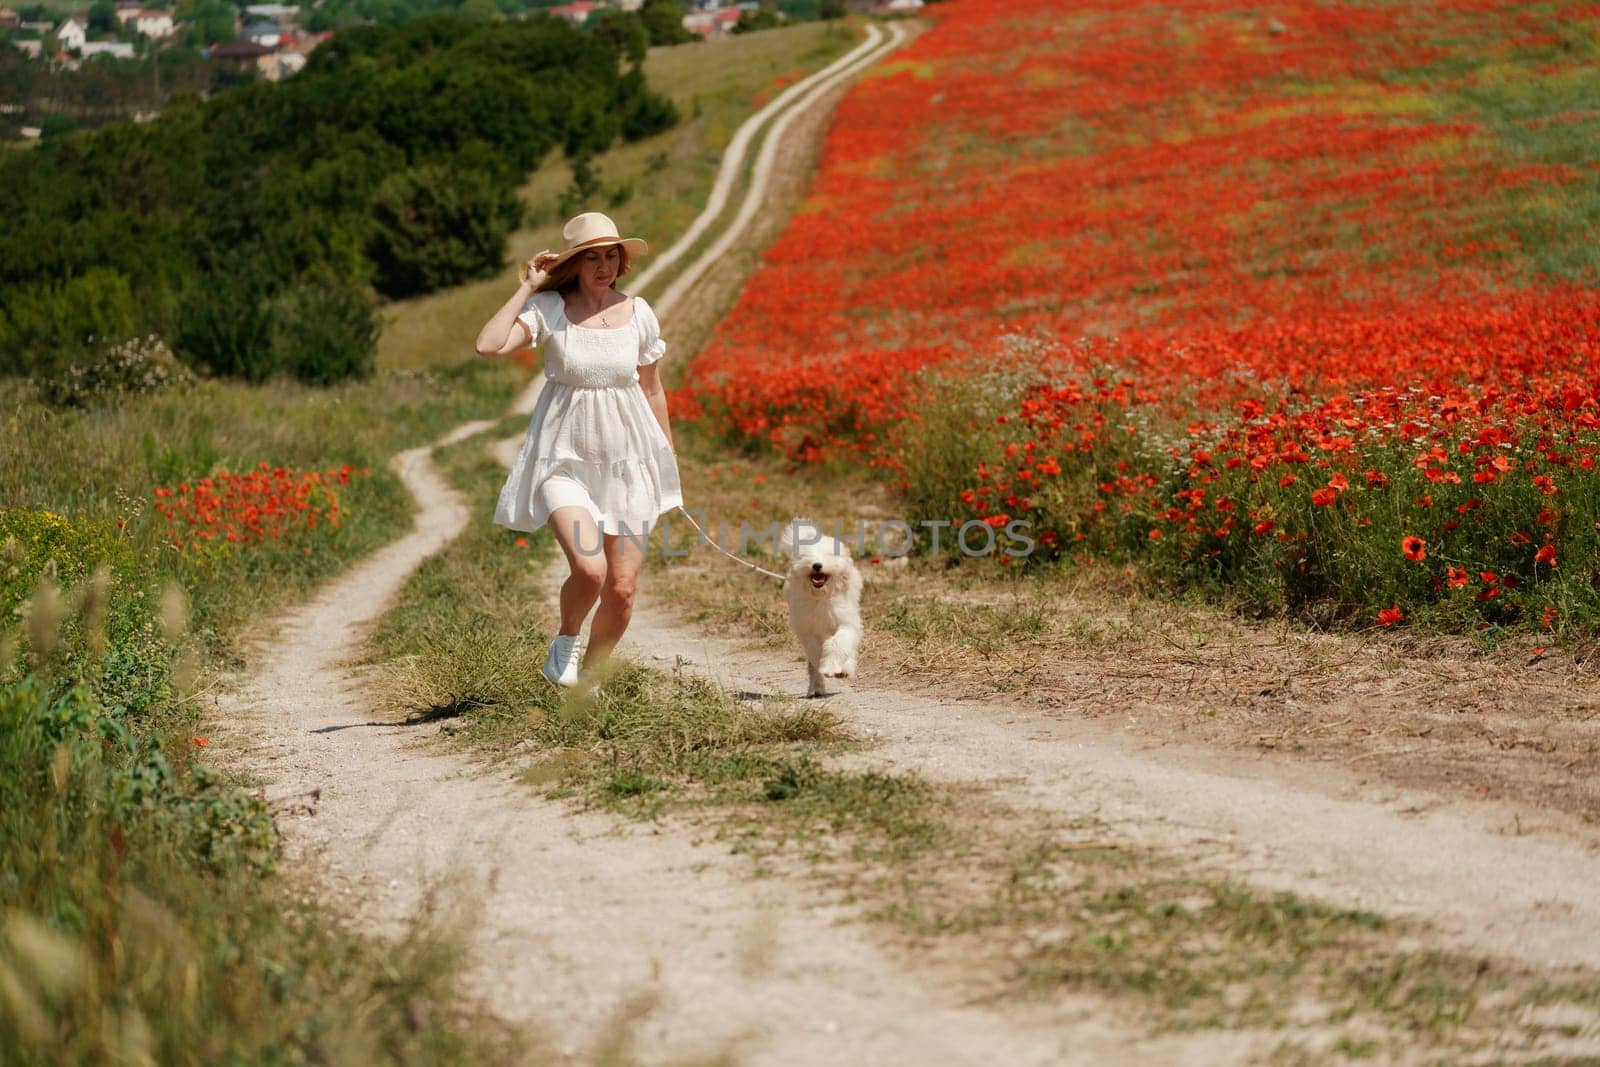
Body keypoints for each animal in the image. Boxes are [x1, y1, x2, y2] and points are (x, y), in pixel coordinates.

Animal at [777, 518, 864, 700]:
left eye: (829, 555)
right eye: (807, 556)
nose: (817, 565)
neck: (820, 597)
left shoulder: (846, 622)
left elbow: (839, 643)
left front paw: (832, 668)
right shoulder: (807, 629)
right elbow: (816, 652)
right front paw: (824, 667)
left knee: (849, 649)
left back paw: (845, 670)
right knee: (812, 668)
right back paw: (816, 689)